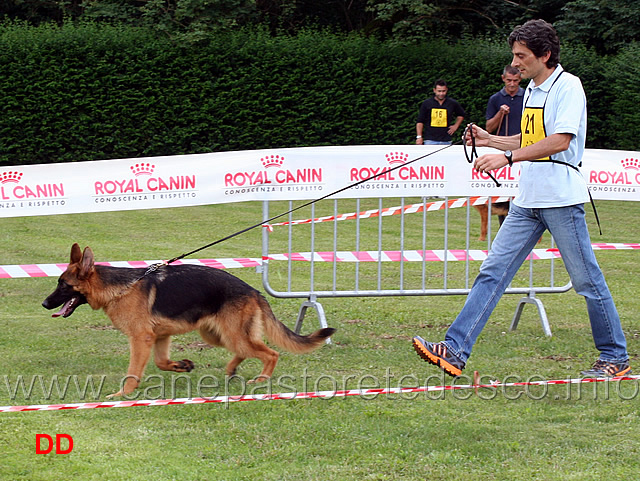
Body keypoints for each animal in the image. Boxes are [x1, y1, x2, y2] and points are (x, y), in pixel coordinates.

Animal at [41, 244, 336, 398]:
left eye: (63, 285)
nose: (44, 304)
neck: (121, 287)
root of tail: (254, 291)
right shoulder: (160, 337)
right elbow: (161, 362)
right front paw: (181, 365)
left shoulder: (141, 339)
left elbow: (133, 372)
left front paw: (123, 395)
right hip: (217, 335)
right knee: (246, 351)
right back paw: (231, 369)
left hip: (231, 334)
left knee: (270, 353)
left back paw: (262, 379)